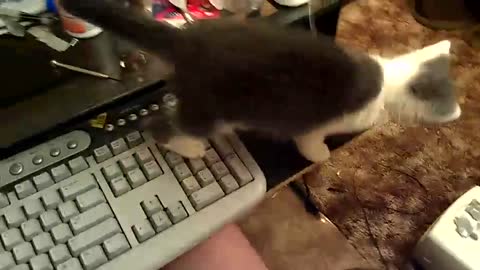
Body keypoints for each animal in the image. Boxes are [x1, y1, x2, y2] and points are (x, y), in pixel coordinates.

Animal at [61, 0, 462, 161]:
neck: (386, 82)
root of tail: (187, 39)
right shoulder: (312, 122)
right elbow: (309, 142)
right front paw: (318, 154)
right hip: (210, 106)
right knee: (157, 124)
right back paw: (189, 146)